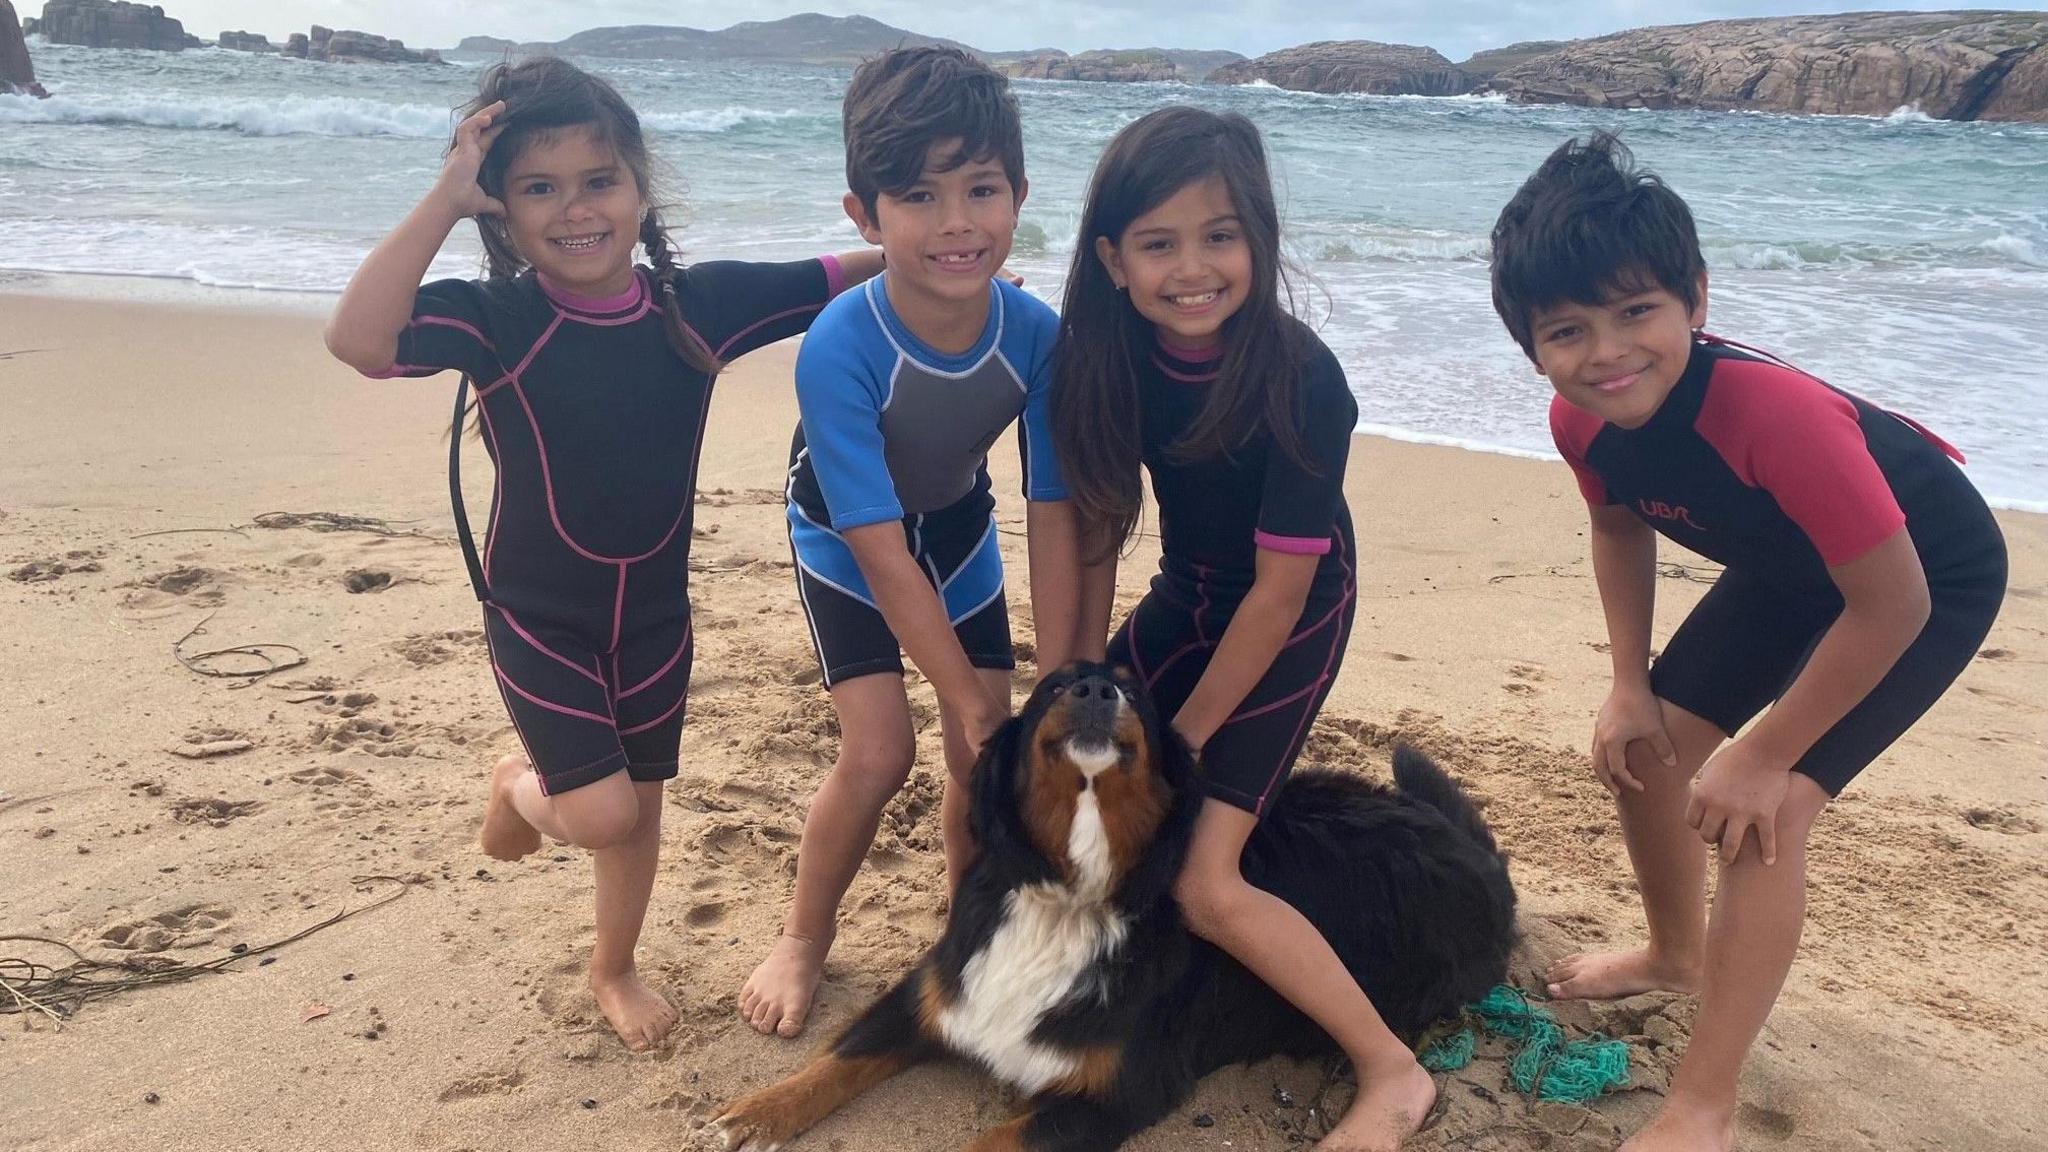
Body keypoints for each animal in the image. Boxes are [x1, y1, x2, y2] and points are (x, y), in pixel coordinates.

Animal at [712, 660, 1515, 1147]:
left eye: (1140, 694)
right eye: (1050, 686)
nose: (1098, 692)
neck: (1068, 898)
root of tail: (1475, 852)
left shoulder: (1117, 1093)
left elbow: (993, 1141)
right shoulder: (936, 992)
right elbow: (841, 1056)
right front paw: (756, 1112)